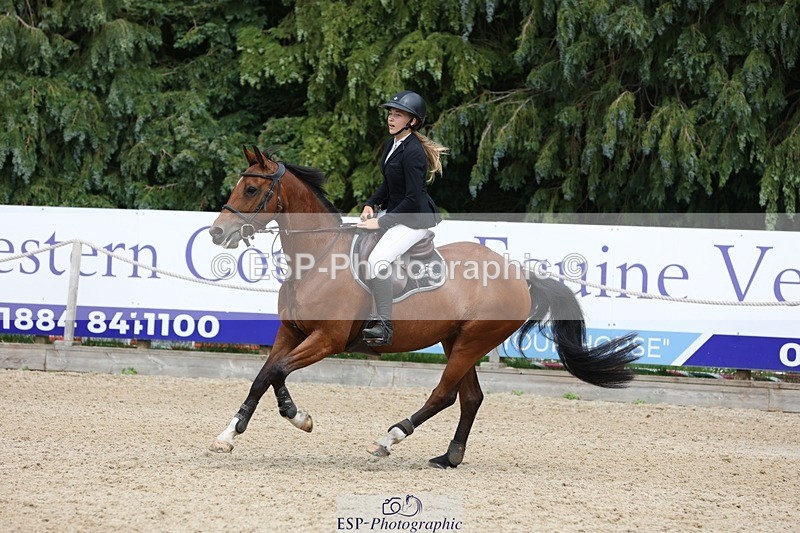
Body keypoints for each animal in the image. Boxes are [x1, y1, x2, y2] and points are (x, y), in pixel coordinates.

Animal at [207, 146, 639, 468]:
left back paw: (389, 438)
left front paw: (299, 418)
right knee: (470, 398)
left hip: (472, 342)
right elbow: (263, 376)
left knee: (444, 395)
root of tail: (518, 274)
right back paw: (449, 457)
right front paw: (228, 435)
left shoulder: (327, 340)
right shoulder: (291, 332)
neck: (318, 257)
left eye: (250, 189)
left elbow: (278, 371)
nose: (216, 232)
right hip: (458, 341)